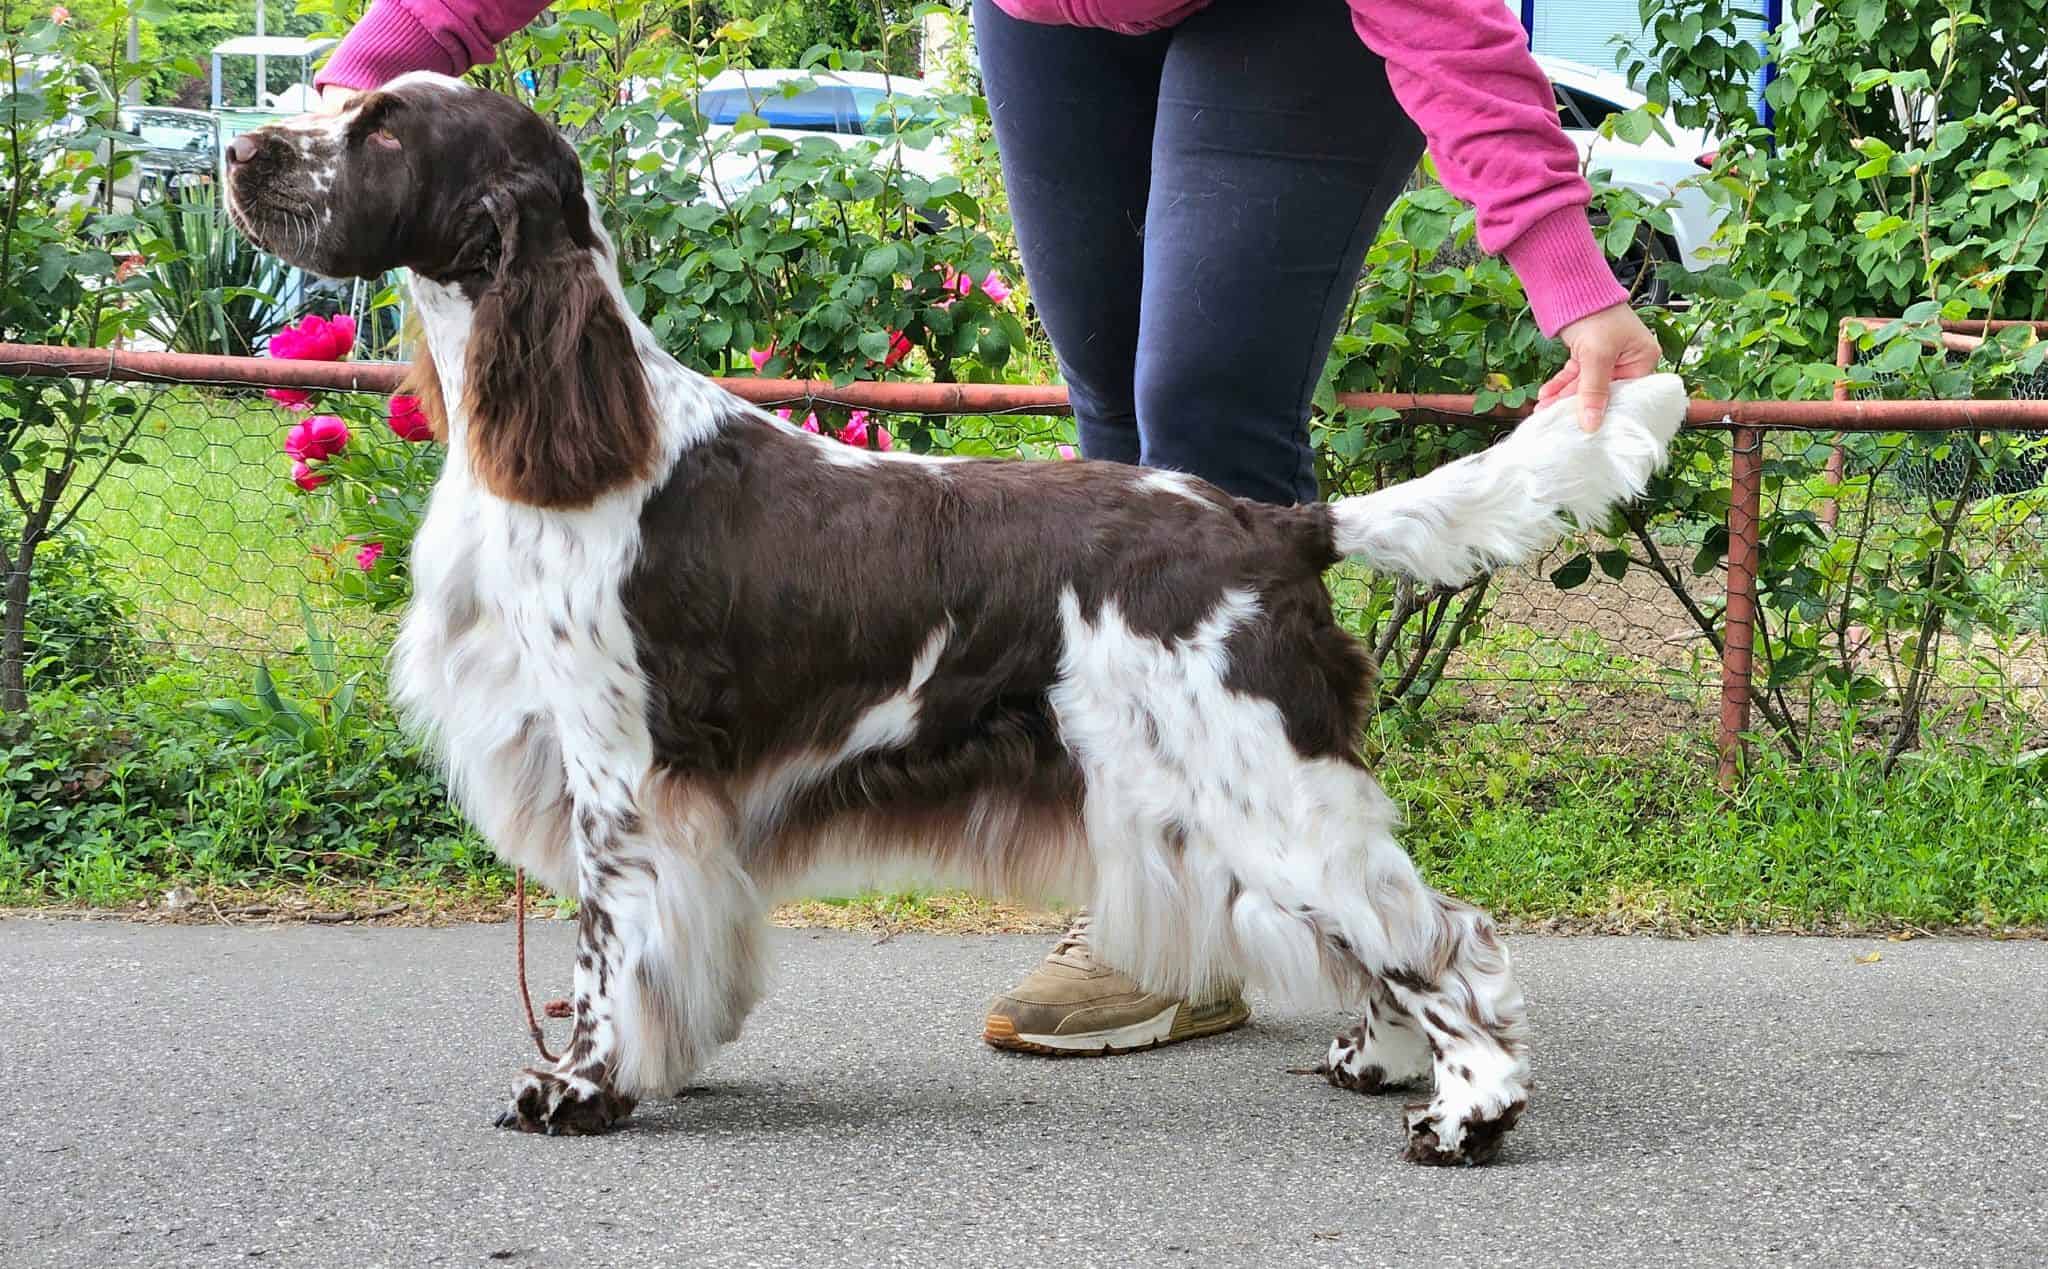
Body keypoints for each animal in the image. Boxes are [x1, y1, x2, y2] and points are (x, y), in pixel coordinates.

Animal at [232, 76, 1687, 1170]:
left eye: (384, 132)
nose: (241, 151)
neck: (583, 438)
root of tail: (1276, 524)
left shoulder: (622, 780)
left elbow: (606, 960)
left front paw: (577, 1091)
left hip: (1265, 786)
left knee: (1439, 937)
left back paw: (1466, 1114)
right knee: (1385, 940)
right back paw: (1380, 1061)